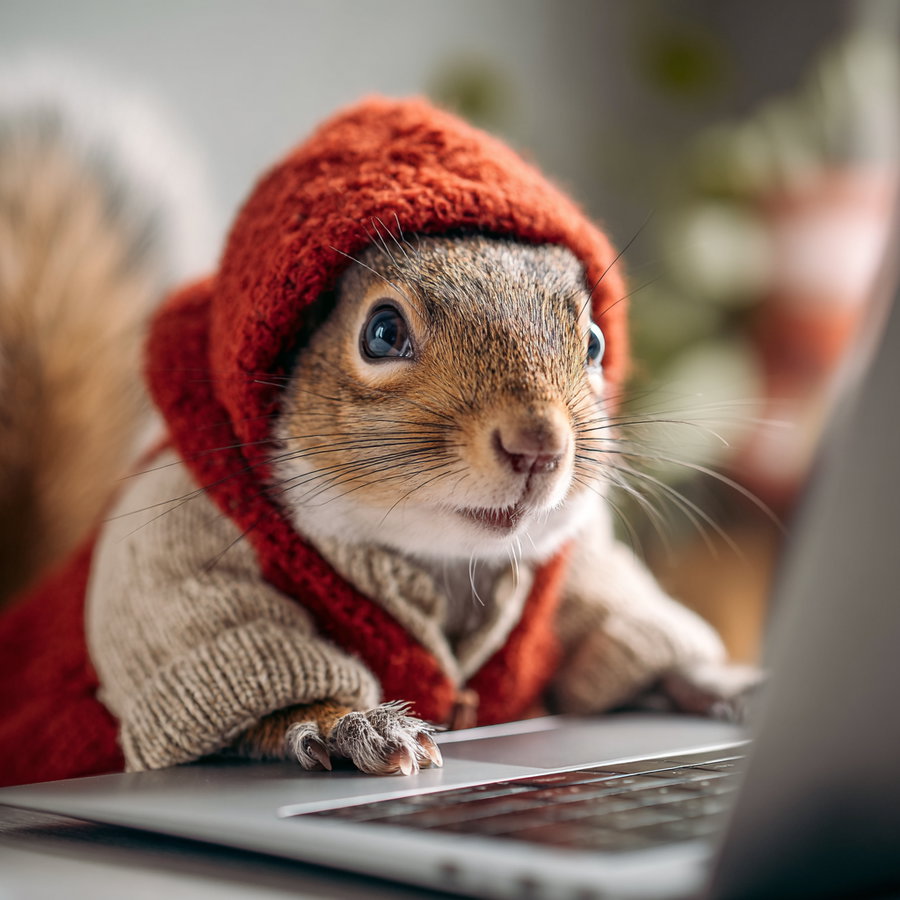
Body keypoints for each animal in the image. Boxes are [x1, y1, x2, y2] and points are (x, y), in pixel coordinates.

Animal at [0, 89, 756, 787]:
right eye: (383, 332)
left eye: (594, 342)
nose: (538, 446)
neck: (446, 564)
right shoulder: (173, 546)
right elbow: (244, 665)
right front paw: (348, 723)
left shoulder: (580, 570)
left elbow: (615, 622)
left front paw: (716, 682)